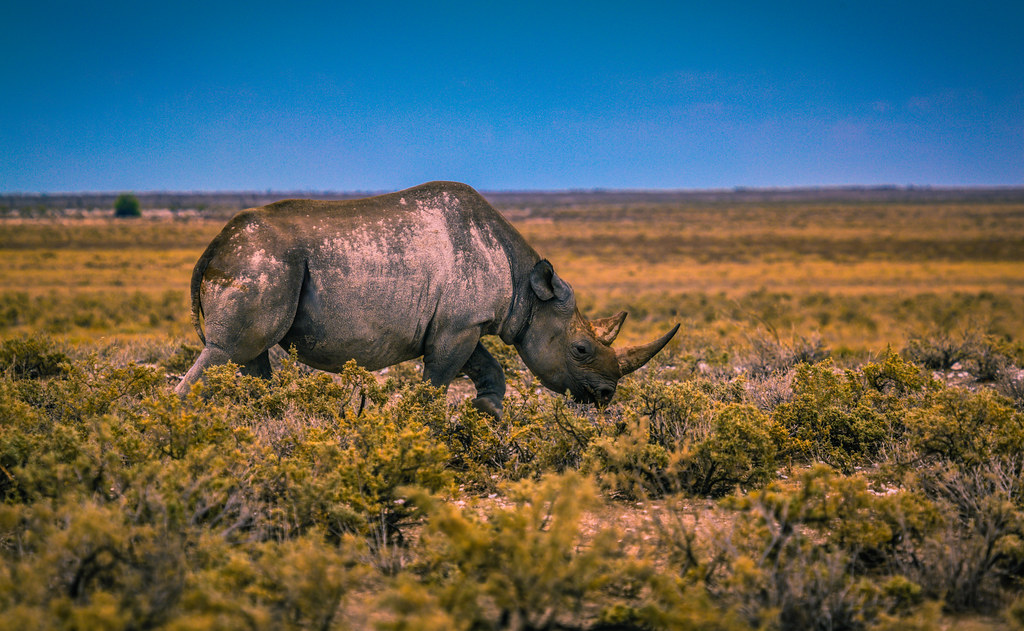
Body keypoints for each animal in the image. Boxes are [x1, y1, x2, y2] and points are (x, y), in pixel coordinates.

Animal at [176, 180, 679, 415]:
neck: (527, 288)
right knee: (226, 350)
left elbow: (489, 369)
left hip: (258, 262)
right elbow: (436, 382)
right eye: (581, 349)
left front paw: (488, 415)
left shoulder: (464, 322)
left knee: (248, 357)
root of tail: (215, 244)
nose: (606, 396)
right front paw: (423, 425)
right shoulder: (459, 325)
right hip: (262, 261)